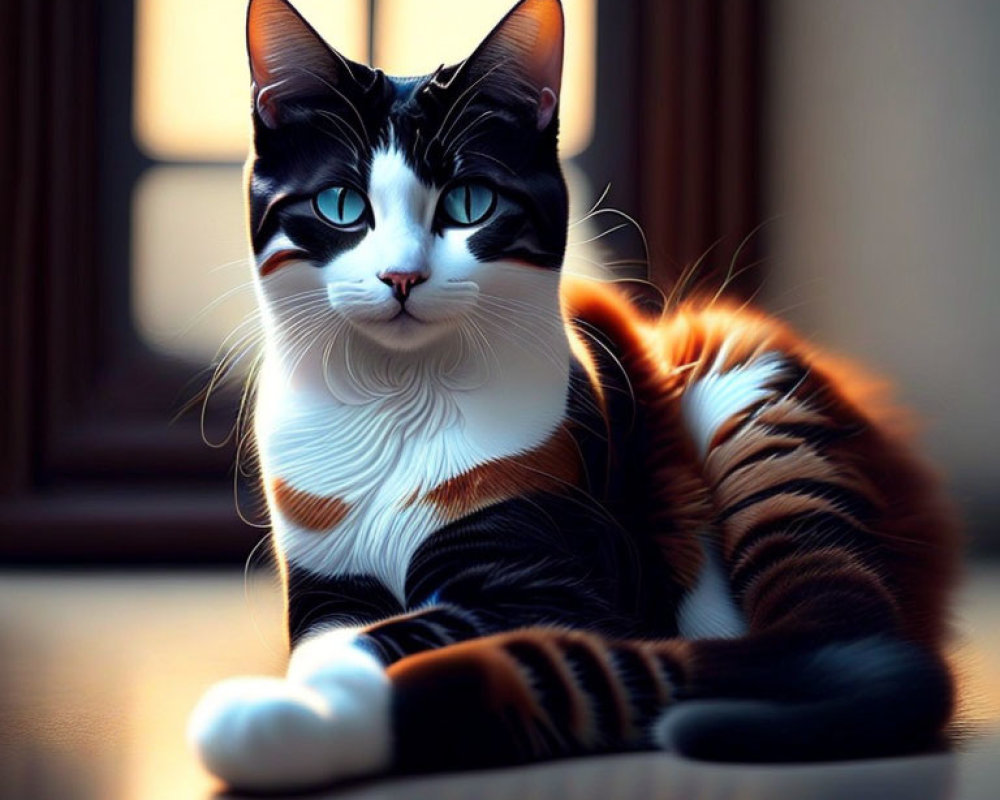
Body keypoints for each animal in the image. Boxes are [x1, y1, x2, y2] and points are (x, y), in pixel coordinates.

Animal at [188, 0, 960, 792]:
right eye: (341, 204)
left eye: (469, 202)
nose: (402, 277)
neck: (398, 401)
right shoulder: (326, 585)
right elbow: (330, 636)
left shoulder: (560, 583)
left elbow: (395, 640)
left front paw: (290, 716)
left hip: (746, 401)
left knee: (832, 634)